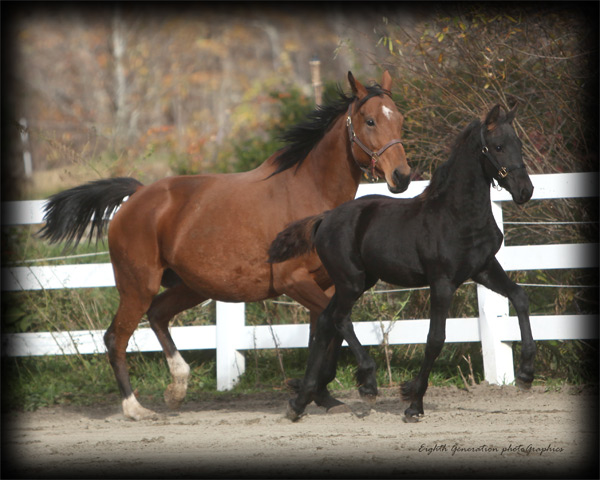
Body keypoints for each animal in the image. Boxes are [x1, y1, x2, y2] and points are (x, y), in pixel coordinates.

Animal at [38, 69, 412, 418]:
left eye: (400, 118)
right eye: (370, 120)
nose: (403, 176)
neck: (308, 193)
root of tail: (137, 195)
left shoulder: (327, 285)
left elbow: (326, 333)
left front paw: (321, 395)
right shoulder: (293, 282)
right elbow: (340, 323)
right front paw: (363, 382)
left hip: (191, 286)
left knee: (157, 314)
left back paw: (177, 387)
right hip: (137, 286)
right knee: (115, 338)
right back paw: (135, 408)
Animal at [268, 104, 536, 420]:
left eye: (519, 144)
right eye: (498, 147)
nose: (525, 191)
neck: (458, 215)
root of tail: (325, 217)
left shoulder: (484, 269)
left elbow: (520, 297)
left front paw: (526, 374)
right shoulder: (442, 282)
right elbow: (435, 338)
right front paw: (413, 402)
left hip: (361, 280)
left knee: (324, 322)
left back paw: (299, 403)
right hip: (350, 281)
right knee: (339, 319)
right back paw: (367, 383)